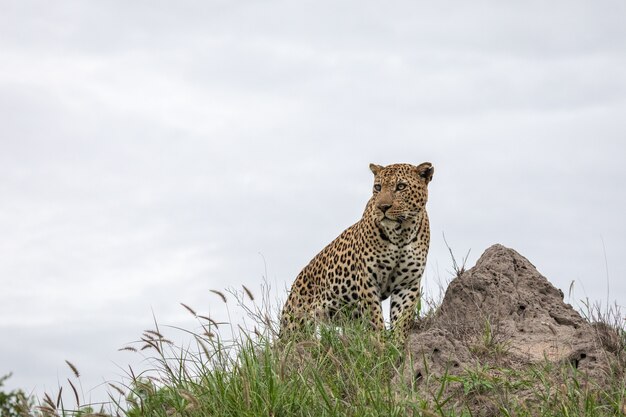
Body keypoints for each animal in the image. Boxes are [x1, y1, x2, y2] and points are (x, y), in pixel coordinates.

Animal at [280, 161, 432, 342]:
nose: (382, 207)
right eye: (378, 187)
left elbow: (402, 318)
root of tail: (296, 283)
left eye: (401, 186)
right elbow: (375, 317)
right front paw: (381, 342)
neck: (401, 233)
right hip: (295, 323)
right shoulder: (368, 279)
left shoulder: (407, 284)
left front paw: (398, 343)